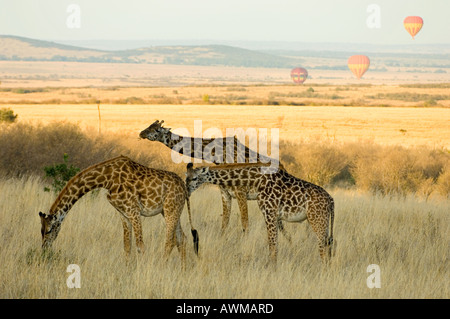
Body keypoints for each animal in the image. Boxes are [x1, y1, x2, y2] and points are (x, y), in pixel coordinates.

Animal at [39, 155, 199, 268]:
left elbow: (140, 245)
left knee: (170, 241)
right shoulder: (123, 214)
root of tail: (184, 188)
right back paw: (183, 271)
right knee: (182, 239)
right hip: (170, 210)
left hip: (170, 209)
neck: (106, 179)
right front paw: (126, 270)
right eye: (41, 231)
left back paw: (162, 267)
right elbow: (127, 246)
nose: (44, 249)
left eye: (49, 230)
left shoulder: (134, 211)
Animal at [139, 120, 288, 240]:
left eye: (157, 130)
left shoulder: (241, 192)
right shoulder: (225, 192)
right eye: (149, 126)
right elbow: (224, 224)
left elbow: (245, 223)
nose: (141, 133)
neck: (217, 154)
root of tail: (283, 167)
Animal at [185, 162, 336, 264]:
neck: (256, 180)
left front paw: (272, 269)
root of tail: (331, 200)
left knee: (322, 247)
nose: (186, 191)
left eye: (194, 178)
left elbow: (272, 244)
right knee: (328, 245)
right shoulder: (271, 214)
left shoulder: (269, 213)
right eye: (185, 176)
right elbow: (274, 244)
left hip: (317, 220)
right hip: (323, 221)